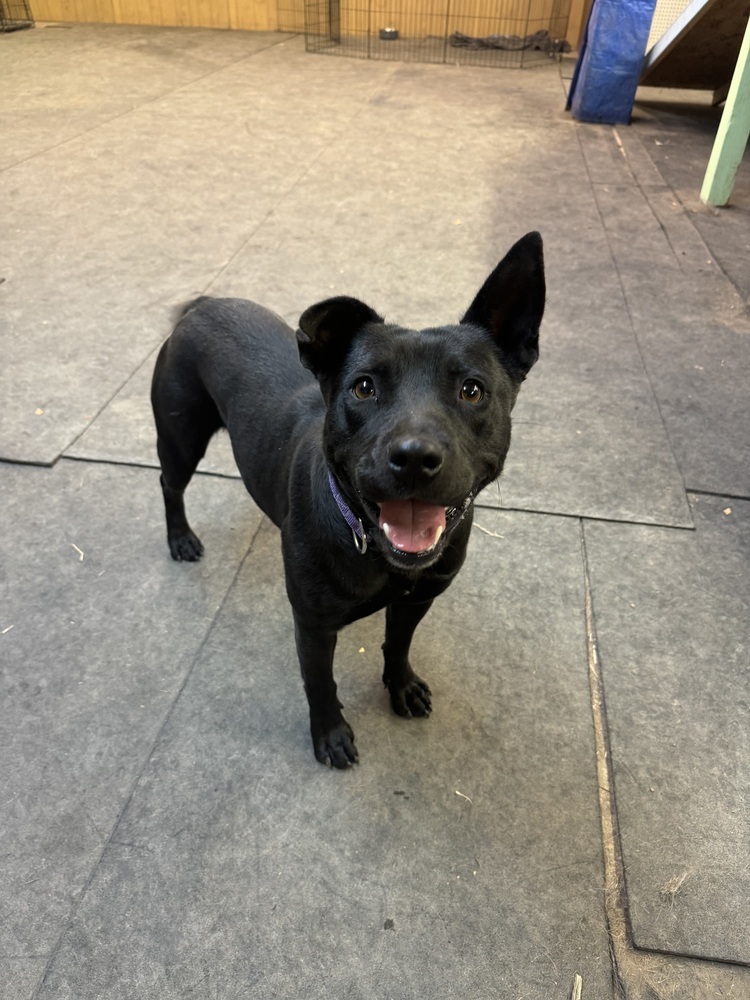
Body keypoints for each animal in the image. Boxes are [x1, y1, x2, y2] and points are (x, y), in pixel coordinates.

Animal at [151, 232, 548, 764]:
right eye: (364, 387)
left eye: (472, 390)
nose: (414, 457)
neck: (374, 548)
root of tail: (205, 304)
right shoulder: (313, 625)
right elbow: (320, 682)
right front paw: (331, 734)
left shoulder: (418, 599)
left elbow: (398, 644)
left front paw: (400, 686)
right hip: (181, 435)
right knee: (170, 484)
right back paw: (180, 538)